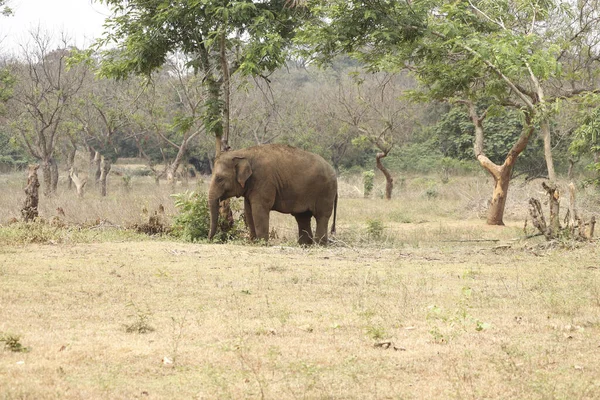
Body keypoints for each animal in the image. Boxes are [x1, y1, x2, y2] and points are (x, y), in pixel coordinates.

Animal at [209, 144, 338, 244]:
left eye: (219, 179)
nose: (210, 239)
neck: (243, 153)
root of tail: (334, 172)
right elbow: (249, 211)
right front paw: (253, 242)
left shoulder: (263, 180)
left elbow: (259, 210)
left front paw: (262, 243)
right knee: (302, 217)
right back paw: (305, 245)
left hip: (325, 191)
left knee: (321, 216)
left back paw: (319, 244)